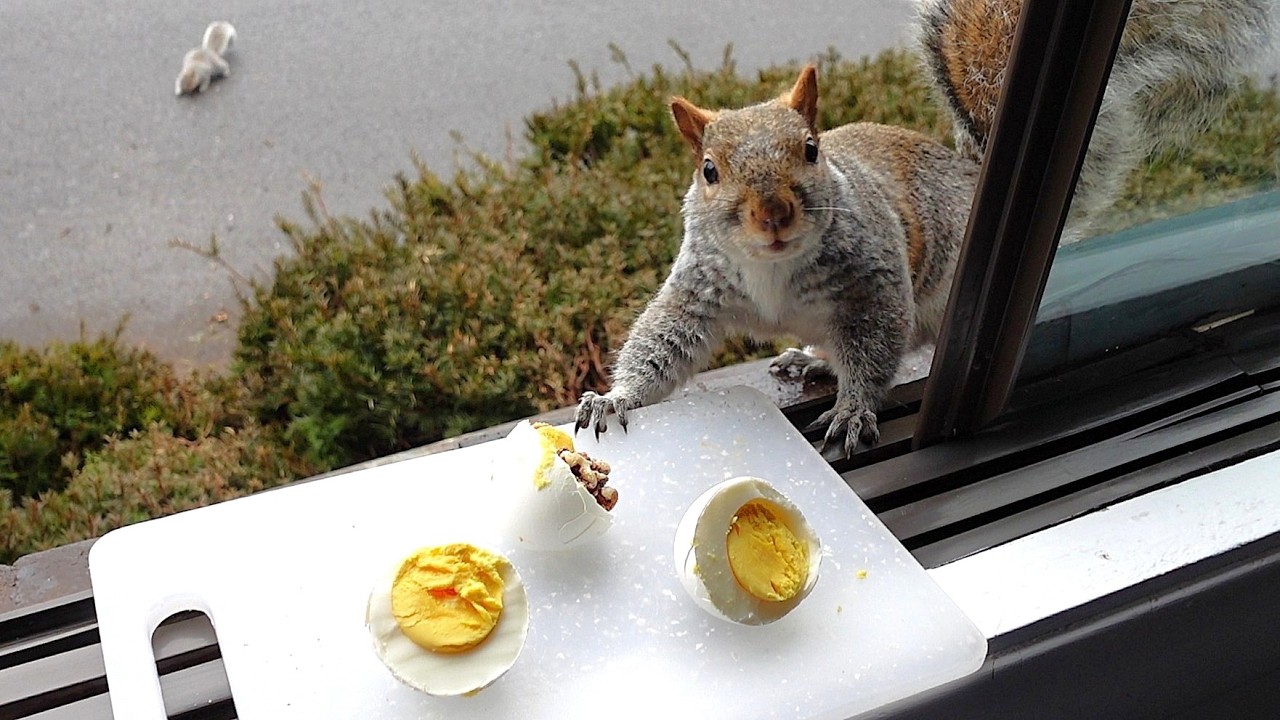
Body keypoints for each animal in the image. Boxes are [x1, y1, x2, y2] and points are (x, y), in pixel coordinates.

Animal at [575, 0, 1273, 454]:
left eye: (811, 150)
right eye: (709, 170)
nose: (772, 214)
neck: (773, 267)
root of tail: (966, 176)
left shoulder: (874, 282)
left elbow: (876, 347)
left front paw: (854, 412)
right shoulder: (701, 288)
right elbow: (664, 345)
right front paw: (614, 399)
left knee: (895, 345)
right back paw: (809, 360)